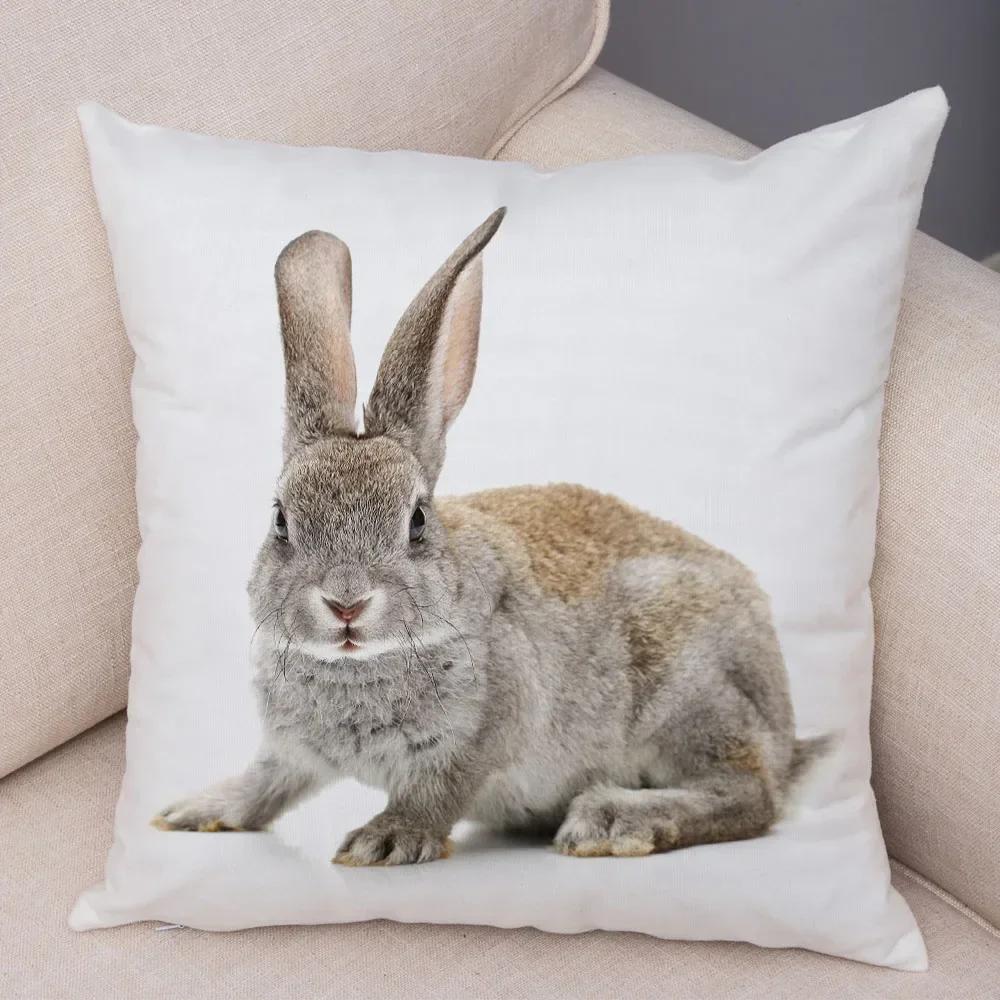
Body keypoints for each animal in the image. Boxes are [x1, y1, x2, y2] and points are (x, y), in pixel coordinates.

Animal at [154, 207, 828, 865]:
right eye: (281, 520)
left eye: (417, 521)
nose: (346, 603)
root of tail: (783, 725)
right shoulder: (290, 753)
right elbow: (266, 786)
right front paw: (192, 812)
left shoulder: (487, 728)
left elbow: (436, 791)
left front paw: (384, 840)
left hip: (691, 700)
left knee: (749, 795)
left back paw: (613, 821)